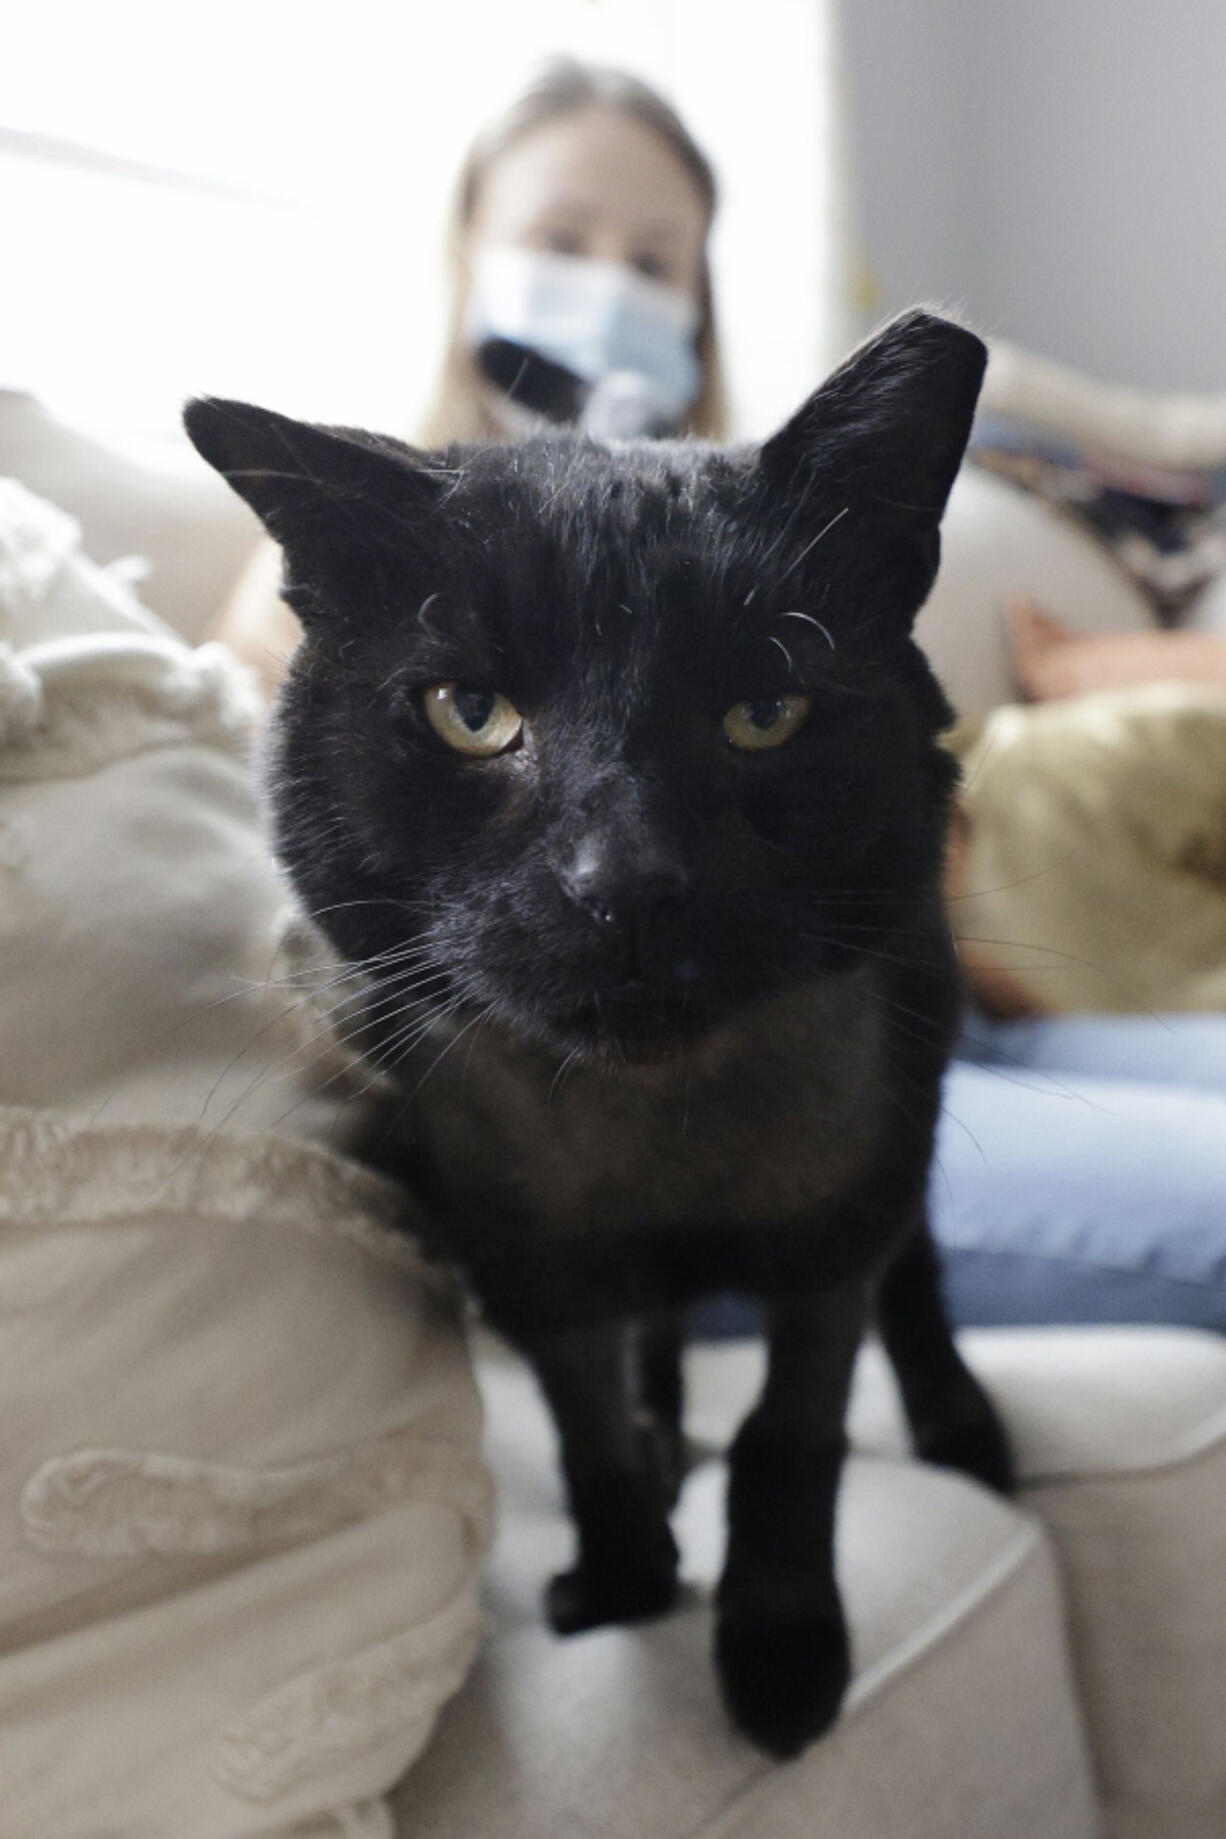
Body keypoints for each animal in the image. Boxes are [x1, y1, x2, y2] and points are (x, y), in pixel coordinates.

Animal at [189, 312, 1014, 1750]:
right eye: (469, 713)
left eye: (765, 710)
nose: (622, 877)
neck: (655, 1137)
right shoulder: (520, 1255)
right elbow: (584, 1424)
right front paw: (630, 1576)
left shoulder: (837, 1228)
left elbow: (792, 1435)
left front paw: (781, 1650)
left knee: (910, 1275)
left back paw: (958, 1424)